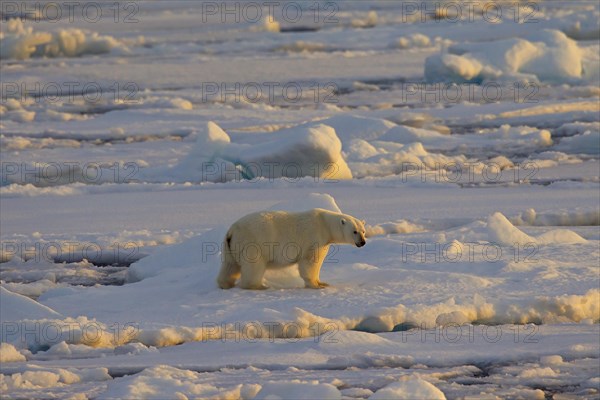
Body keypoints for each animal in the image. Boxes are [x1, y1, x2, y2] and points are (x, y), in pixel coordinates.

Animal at [217, 208, 366, 290]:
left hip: (230, 246)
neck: (325, 224)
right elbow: (310, 262)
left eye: (363, 231)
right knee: (254, 266)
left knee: (229, 266)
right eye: (354, 232)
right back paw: (260, 286)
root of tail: (232, 230)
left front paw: (323, 282)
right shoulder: (315, 237)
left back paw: (225, 284)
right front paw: (317, 285)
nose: (363, 242)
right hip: (253, 243)